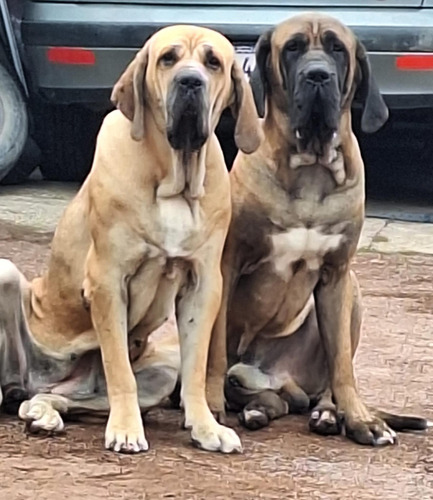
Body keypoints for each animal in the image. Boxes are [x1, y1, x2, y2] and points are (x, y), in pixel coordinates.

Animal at [206, 13, 428, 446]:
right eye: (292, 47)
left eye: (337, 48)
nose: (318, 75)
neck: (309, 168)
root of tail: (276, 375)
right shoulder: (226, 263)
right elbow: (213, 349)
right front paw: (208, 405)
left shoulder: (336, 273)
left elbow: (342, 364)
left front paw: (359, 419)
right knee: (265, 393)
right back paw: (254, 406)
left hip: (351, 292)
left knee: (316, 385)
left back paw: (327, 413)